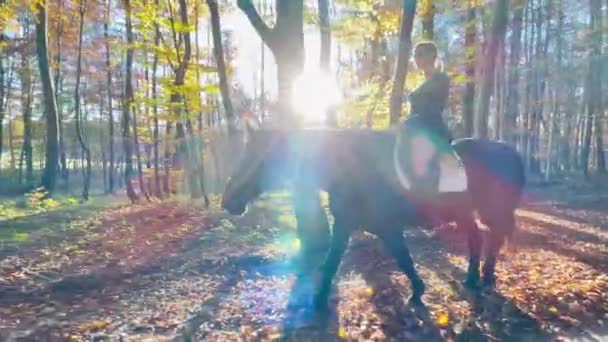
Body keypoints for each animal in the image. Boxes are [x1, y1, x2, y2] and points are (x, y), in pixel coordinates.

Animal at [221, 127, 524, 310]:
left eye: (257, 157)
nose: (228, 201)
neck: (351, 169)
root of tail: (509, 150)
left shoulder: (386, 228)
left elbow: (402, 258)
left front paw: (417, 292)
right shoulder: (346, 226)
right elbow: (332, 263)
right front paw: (318, 300)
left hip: (489, 213)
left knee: (492, 240)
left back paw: (485, 278)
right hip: (465, 215)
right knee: (478, 240)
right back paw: (474, 279)